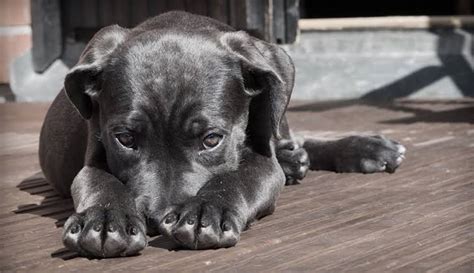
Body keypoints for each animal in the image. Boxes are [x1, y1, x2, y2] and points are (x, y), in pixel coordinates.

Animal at [39, 11, 406, 258]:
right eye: (125, 140)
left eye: (211, 140)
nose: (157, 219)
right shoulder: (93, 155)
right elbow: (99, 181)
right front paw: (104, 219)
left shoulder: (262, 160)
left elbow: (239, 177)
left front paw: (207, 210)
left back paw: (363, 149)